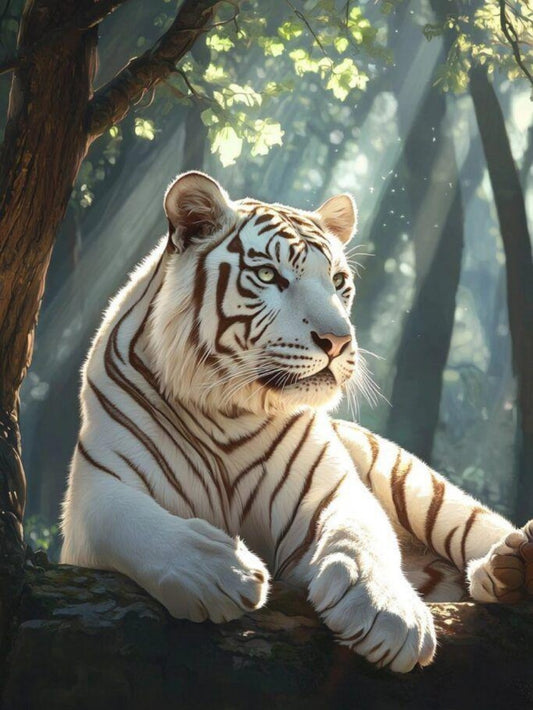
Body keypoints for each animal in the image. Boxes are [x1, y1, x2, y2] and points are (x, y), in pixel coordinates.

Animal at [61, 171, 533, 673]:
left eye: (339, 281)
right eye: (269, 275)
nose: (339, 341)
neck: (227, 408)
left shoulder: (330, 488)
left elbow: (364, 534)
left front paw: (388, 612)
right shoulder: (96, 489)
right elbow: (129, 521)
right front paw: (220, 571)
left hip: (420, 487)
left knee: (483, 528)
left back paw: (515, 564)